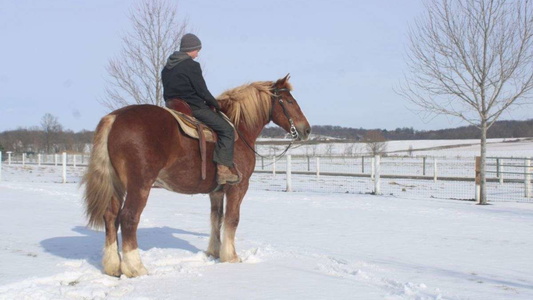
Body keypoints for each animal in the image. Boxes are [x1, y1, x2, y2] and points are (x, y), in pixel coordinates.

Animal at [81, 74, 310, 276]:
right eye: (289, 101)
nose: (306, 130)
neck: (239, 129)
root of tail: (114, 118)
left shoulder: (216, 191)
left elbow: (216, 219)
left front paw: (214, 252)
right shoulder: (238, 187)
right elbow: (232, 219)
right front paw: (231, 256)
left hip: (117, 186)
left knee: (110, 217)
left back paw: (113, 266)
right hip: (140, 186)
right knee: (128, 218)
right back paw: (135, 268)